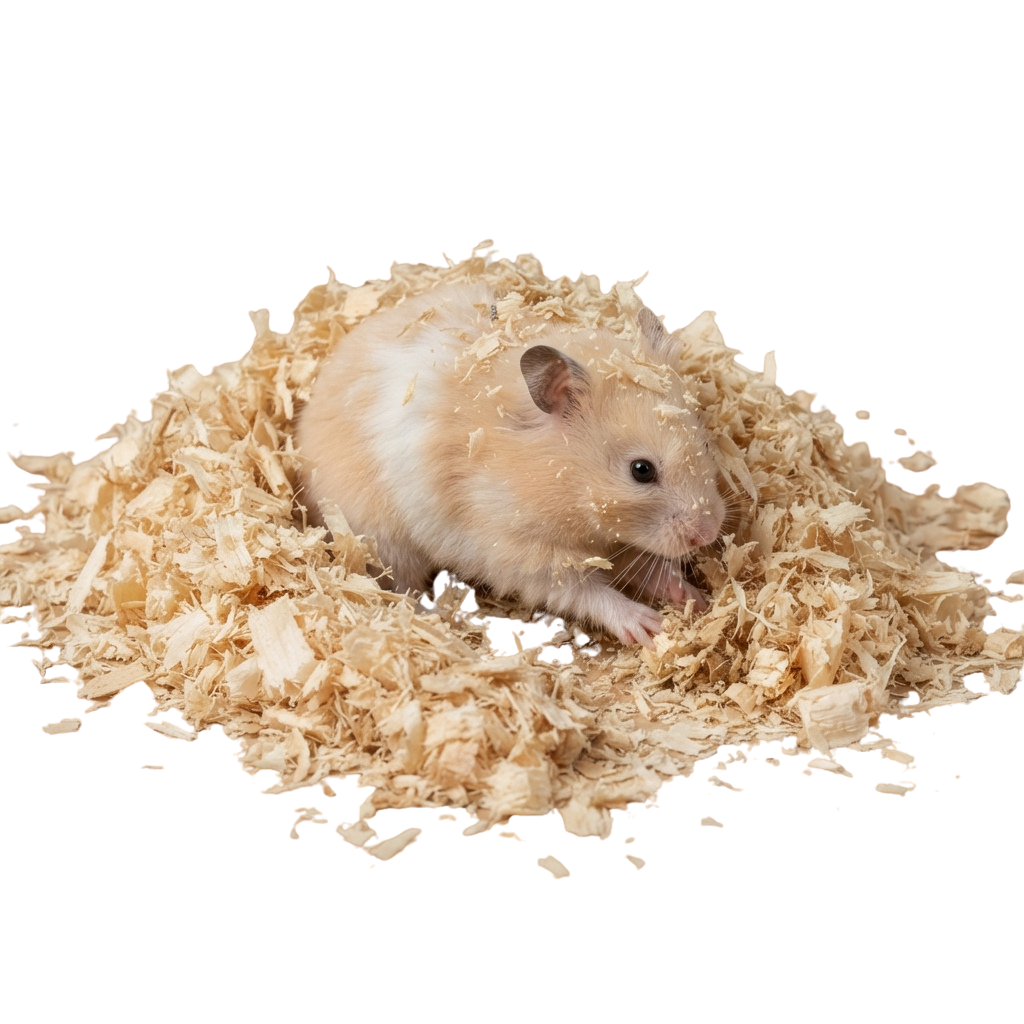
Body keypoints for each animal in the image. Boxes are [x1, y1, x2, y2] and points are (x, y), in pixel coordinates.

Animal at [295, 280, 727, 648]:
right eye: (641, 470)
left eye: (705, 443)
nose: (707, 534)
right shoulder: (515, 553)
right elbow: (584, 592)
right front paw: (648, 626)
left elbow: (643, 565)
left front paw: (694, 597)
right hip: (383, 542)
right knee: (400, 588)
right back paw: (438, 623)